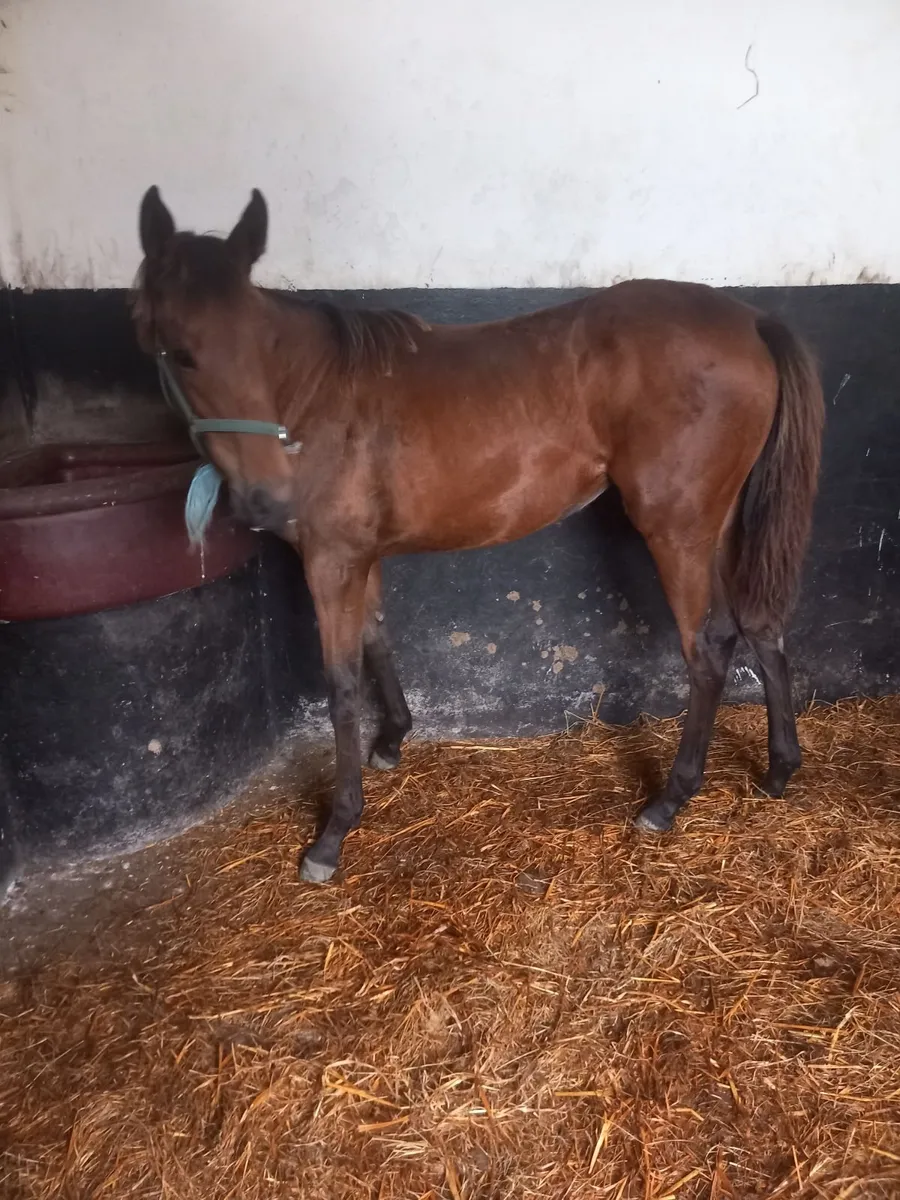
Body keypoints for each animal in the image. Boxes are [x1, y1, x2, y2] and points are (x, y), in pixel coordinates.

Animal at [132, 187, 824, 883]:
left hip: (677, 531)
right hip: (720, 526)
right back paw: (778, 769)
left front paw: (334, 832)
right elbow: (377, 638)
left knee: (705, 657)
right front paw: (393, 739)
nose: (264, 497)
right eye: (181, 351)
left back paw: (670, 800)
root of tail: (751, 319)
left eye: (258, 345)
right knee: (756, 627)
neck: (319, 397)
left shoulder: (330, 560)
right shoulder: (360, 556)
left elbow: (341, 687)